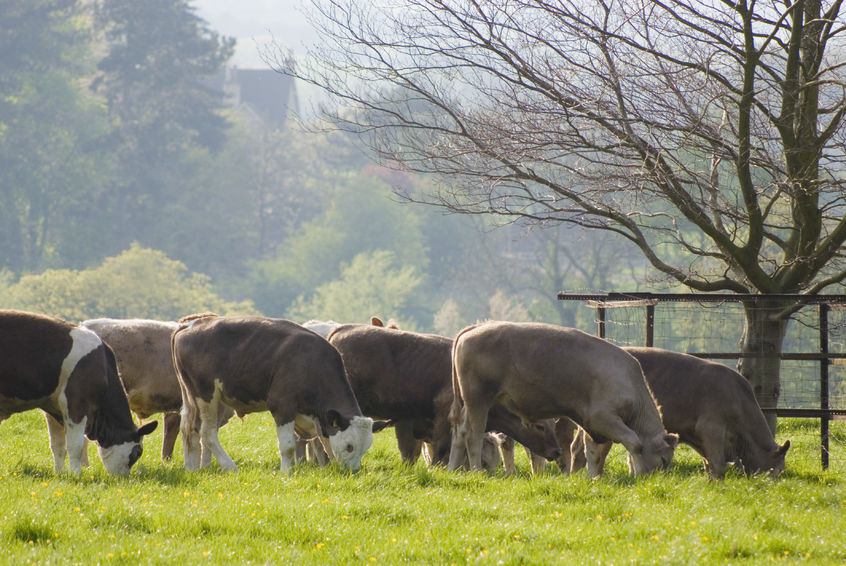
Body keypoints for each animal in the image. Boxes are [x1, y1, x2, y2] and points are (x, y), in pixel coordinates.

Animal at [0, 312, 157, 478]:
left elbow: (58, 445)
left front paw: (60, 473)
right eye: (138, 452)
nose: (123, 478)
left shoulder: (53, 408)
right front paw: (76, 474)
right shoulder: (77, 403)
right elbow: (75, 446)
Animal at [173, 318, 374, 472]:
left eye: (365, 448)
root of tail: (190, 325)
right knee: (207, 432)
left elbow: (326, 444)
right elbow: (288, 446)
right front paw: (286, 473)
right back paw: (229, 466)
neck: (311, 363)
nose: (353, 471)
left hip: (192, 398)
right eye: (350, 446)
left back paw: (191, 468)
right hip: (206, 396)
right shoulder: (283, 406)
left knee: (189, 429)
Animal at [326, 324, 564, 470]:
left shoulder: (408, 423)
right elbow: (439, 451)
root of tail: (341, 330)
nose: (556, 451)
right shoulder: (441, 419)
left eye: (554, 427)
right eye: (541, 426)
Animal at [450, 322, 684, 478]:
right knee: (474, 435)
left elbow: (592, 453)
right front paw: (638, 473)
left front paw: (593, 478)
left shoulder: (592, 426)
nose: (657, 478)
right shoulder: (604, 419)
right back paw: (476, 470)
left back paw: (453, 468)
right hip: (479, 400)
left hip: (467, 404)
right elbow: (635, 443)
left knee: (460, 432)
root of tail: (474, 329)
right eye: (664, 459)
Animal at [572, 348, 792, 482]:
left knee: (578, 448)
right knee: (597, 450)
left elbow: (708, 462)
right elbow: (718, 464)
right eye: (778, 469)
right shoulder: (711, 428)